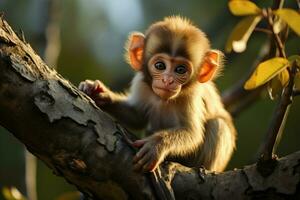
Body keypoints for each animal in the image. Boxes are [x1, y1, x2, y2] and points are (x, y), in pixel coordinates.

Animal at [79, 16, 237, 172]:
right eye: (160, 66)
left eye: (180, 70)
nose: (167, 80)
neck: (163, 100)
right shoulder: (141, 83)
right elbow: (137, 116)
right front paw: (98, 92)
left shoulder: (192, 96)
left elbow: (192, 133)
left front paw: (156, 145)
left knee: (218, 124)